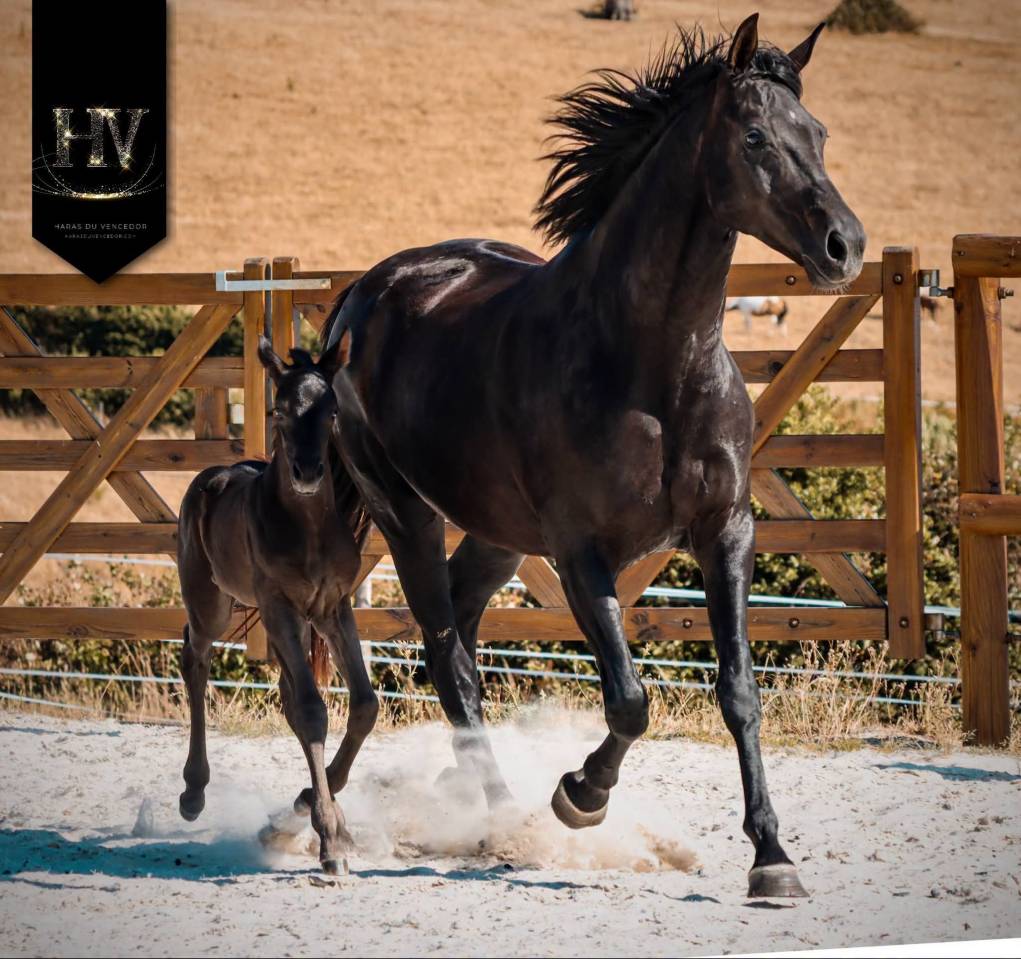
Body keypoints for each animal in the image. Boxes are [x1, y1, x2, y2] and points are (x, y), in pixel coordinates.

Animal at [176, 337, 376, 874]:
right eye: (280, 410)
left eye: (331, 410)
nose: (308, 472)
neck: (308, 528)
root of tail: (211, 476)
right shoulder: (278, 605)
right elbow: (310, 710)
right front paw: (329, 840)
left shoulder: (333, 608)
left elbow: (364, 704)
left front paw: (325, 815)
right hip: (211, 601)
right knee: (194, 656)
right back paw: (193, 792)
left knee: (284, 691)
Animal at [322, 15, 864, 897]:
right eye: (753, 136)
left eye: (815, 133)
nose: (843, 244)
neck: (654, 363)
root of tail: (361, 295)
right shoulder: (580, 553)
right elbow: (628, 699)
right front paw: (580, 794)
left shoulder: (726, 531)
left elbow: (739, 691)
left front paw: (772, 858)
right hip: (403, 513)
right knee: (448, 657)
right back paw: (504, 819)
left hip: (496, 536)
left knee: (460, 637)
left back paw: (453, 793)